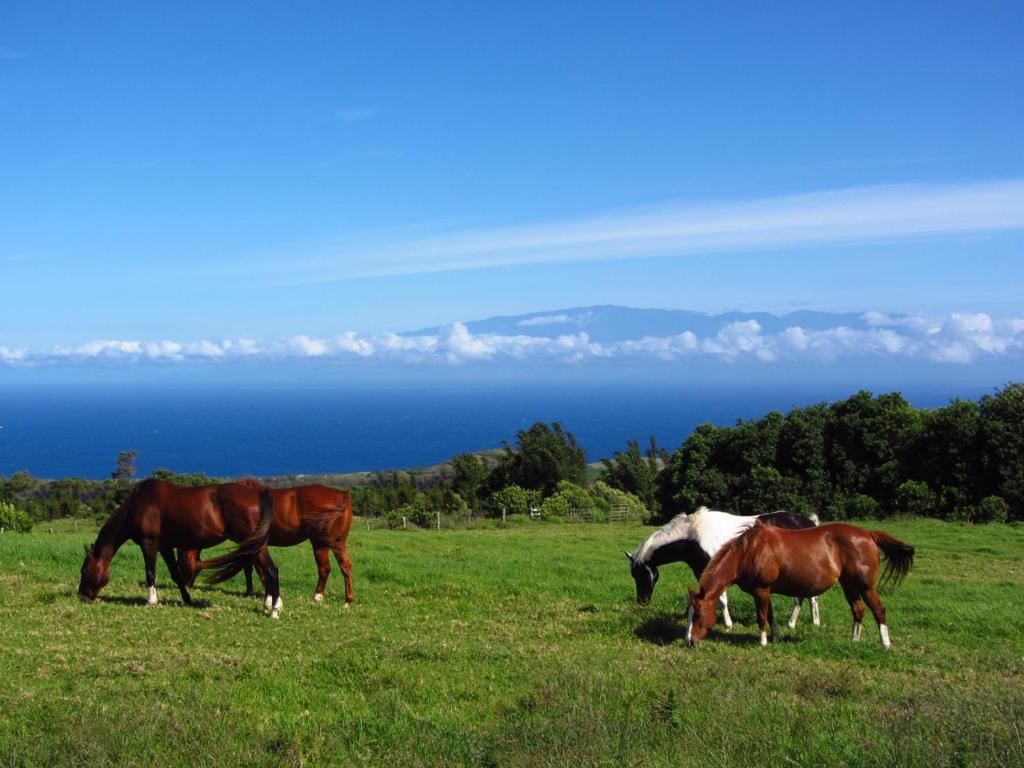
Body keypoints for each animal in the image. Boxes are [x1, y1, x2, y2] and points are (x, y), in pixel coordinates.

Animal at [78, 481, 284, 618]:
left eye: (84, 570)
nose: (82, 596)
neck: (137, 506)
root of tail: (258, 495)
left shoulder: (149, 543)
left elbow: (150, 573)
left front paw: (151, 601)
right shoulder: (165, 546)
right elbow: (176, 574)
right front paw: (187, 599)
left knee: (271, 571)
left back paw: (274, 610)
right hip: (254, 544)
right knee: (267, 571)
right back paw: (269, 605)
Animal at [184, 483, 356, 606]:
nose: (187, 585)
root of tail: (341, 495)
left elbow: (254, 568)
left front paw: (261, 593)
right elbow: (251, 568)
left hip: (322, 542)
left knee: (326, 568)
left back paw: (319, 596)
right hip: (335, 543)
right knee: (343, 566)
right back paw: (347, 599)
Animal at [622, 507, 823, 626]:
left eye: (638, 575)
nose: (642, 601)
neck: (693, 536)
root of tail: (809, 523)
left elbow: (721, 598)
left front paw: (728, 624)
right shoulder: (700, 571)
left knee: (805, 597)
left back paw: (801, 622)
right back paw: (804, 622)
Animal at [688, 524, 913, 651]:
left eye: (698, 614)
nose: (689, 641)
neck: (748, 551)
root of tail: (868, 534)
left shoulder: (761, 590)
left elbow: (761, 616)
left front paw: (762, 642)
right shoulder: (765, 591)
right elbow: (770, 615)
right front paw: (777, 636)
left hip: (866, 586)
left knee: (879, 610)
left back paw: (885, 643)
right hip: (848, 584)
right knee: (858, 610)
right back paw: (854, 641)